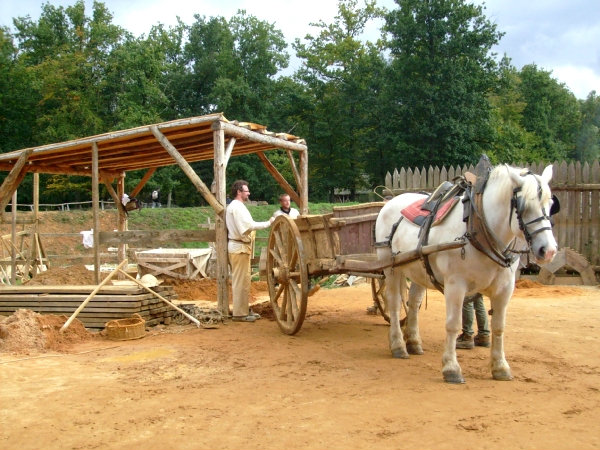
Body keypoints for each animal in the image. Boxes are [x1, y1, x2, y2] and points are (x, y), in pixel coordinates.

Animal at [376, 163, 556, 382]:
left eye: (551, 204)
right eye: (523, 206)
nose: (548, 250)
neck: (478, 227)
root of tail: (391, 201)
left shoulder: (505, 289)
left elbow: (499, 326)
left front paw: (500, 367)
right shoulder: (455, 285)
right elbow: (453, 324)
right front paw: (451, 368)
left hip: (418, 268)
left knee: (413, 302)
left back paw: (414, 342)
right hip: (390, 267)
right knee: (394, 303)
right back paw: (398, 345)